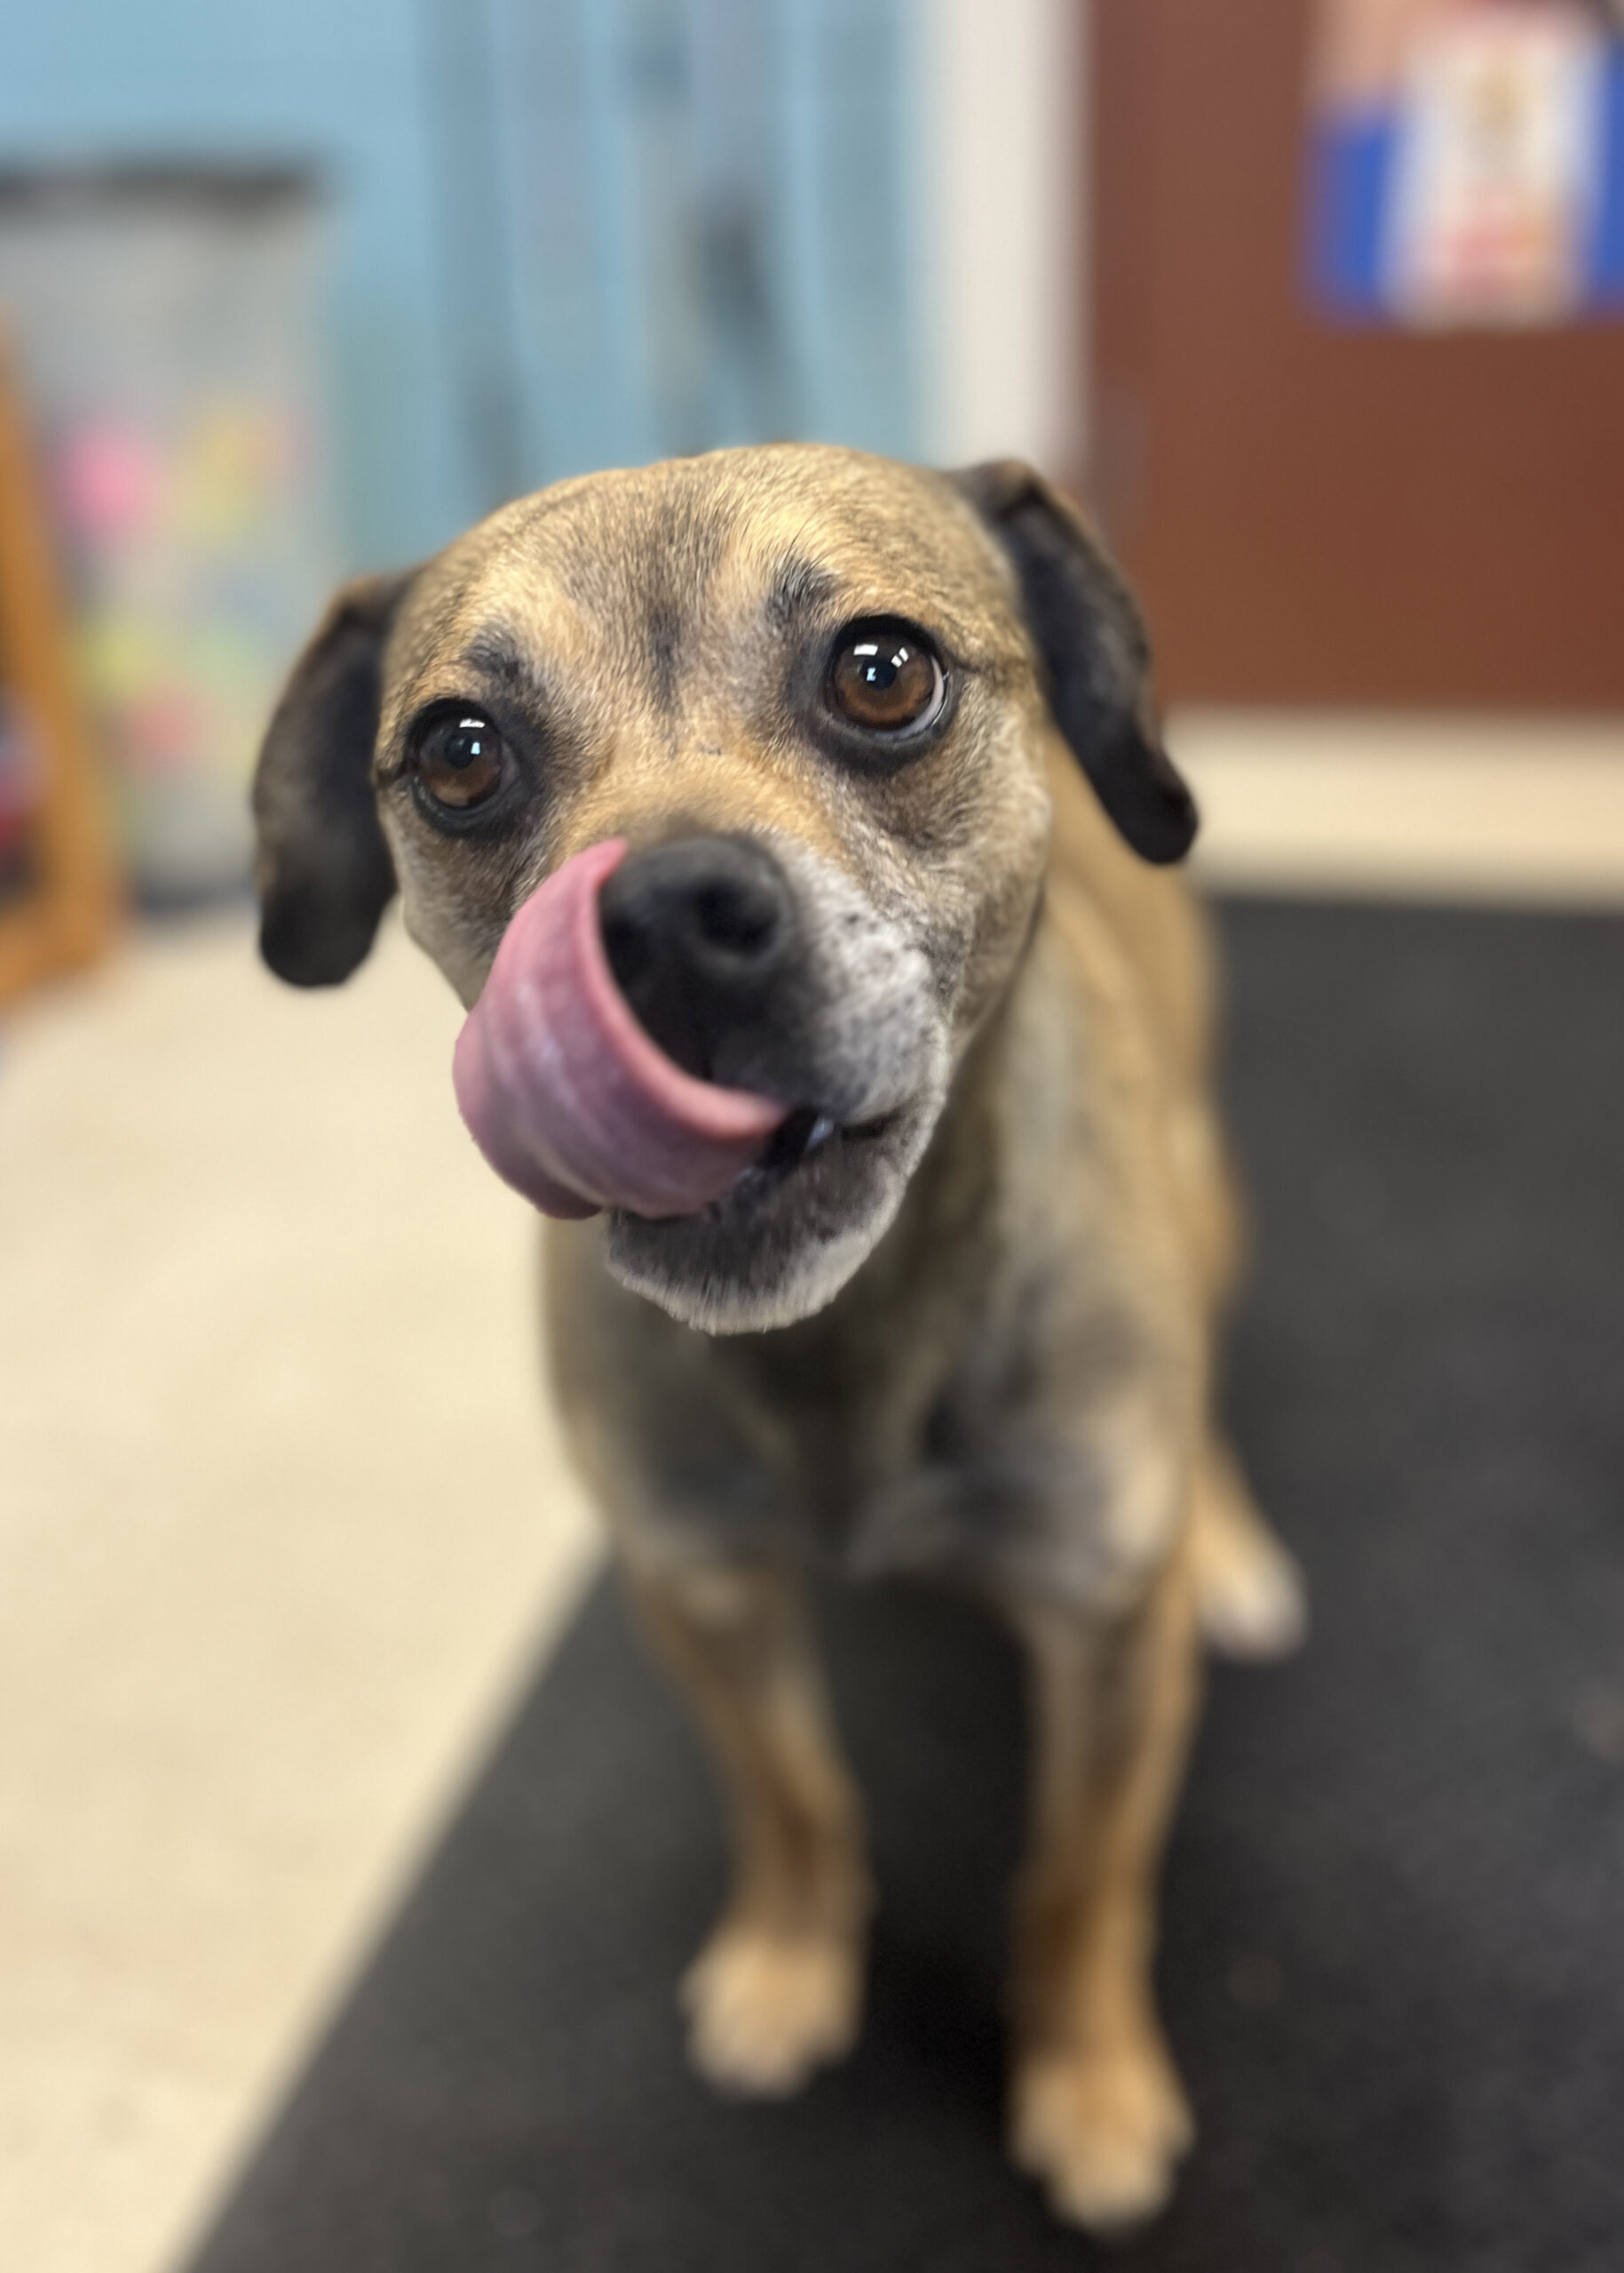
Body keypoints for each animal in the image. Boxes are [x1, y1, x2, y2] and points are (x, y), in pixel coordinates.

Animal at [252, 444, 1303, 2232]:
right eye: (460, 754)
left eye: (880, 673)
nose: (666, 920)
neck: (843, 1340)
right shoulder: (701, 1590)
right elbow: (796, 1798)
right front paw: (788, 1971)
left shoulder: (1103, 1645)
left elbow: (1077, 1877)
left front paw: (1088, 2086)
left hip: (1207, 1204)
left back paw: (1222, 1545)